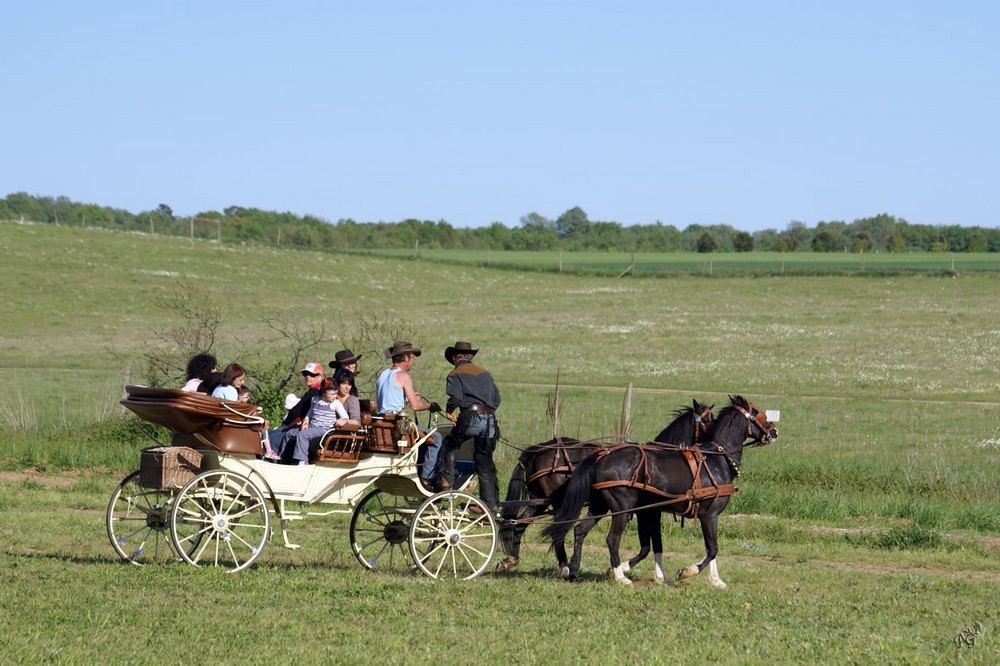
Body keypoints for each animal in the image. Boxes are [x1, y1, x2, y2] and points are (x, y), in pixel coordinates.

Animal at [498, 400, 712, 576]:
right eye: (707, 420)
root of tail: (538, 450)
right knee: (556, 530)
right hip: (557, 503)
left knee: (520, 523)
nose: (711, 446)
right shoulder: (649, 510)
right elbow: (649, 545)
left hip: (539, 500)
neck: (660, 456)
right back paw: (564, 566)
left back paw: (511, 559)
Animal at [544, 396, 776, 584]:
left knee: (580, 530)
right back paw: (619, 576)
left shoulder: (652, 513)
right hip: (622, 507)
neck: (717, 458)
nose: (774, 431)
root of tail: (601, 456)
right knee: (612, 539)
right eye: (757, 413)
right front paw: (689, 572)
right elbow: (712, 548)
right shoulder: (708, 514)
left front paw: (709, 580)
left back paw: (573, 569)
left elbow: (655, 546)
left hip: (600, 505)